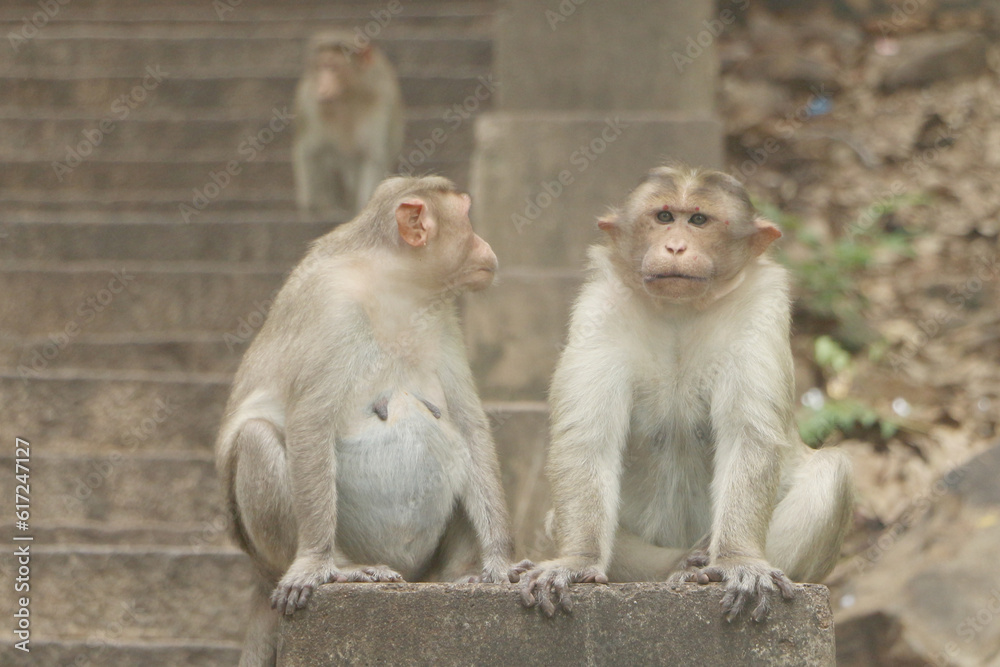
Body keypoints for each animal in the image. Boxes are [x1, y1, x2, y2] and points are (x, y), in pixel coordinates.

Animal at [219, 175, 516, 664]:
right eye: (468, 218)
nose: (487, 246)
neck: (394, 285)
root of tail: (259, 576)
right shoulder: (332, 307)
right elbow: (310, 423)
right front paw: (318, 564)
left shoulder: (443, 317)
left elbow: (471, 428)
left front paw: (500, 562)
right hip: (266, 553)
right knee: (257, 438)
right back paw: (344, 567)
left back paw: (459, 575)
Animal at [516, 164, 852, 624]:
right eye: (663, 217)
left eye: (698, 220)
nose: (674, 246)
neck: (680, 310)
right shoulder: (599, 308)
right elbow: (586, 439)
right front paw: (576, 561)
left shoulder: (761, 307)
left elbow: (749, 435)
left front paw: (738, 561)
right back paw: (677, 567)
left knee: (831, 475)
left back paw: (699, 569)